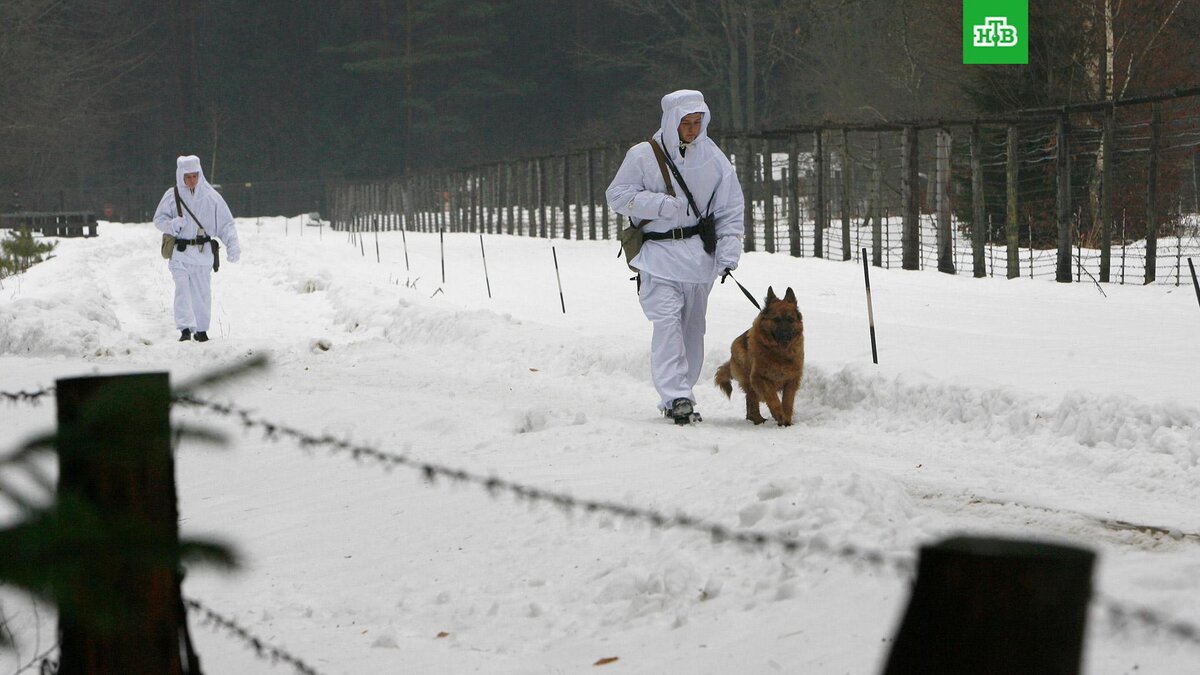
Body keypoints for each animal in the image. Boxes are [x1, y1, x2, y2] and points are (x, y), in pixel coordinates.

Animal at [715, 284, 801, 422]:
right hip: (748, 379)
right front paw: (778, 414)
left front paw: (786, 419)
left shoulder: (791, 380)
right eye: (776, 320)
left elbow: (788, 401)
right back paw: (757, 419)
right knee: (752, 399)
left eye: (790, 319)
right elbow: (772, 397)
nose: (786, 336)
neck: (779, 355)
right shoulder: (759, 378)